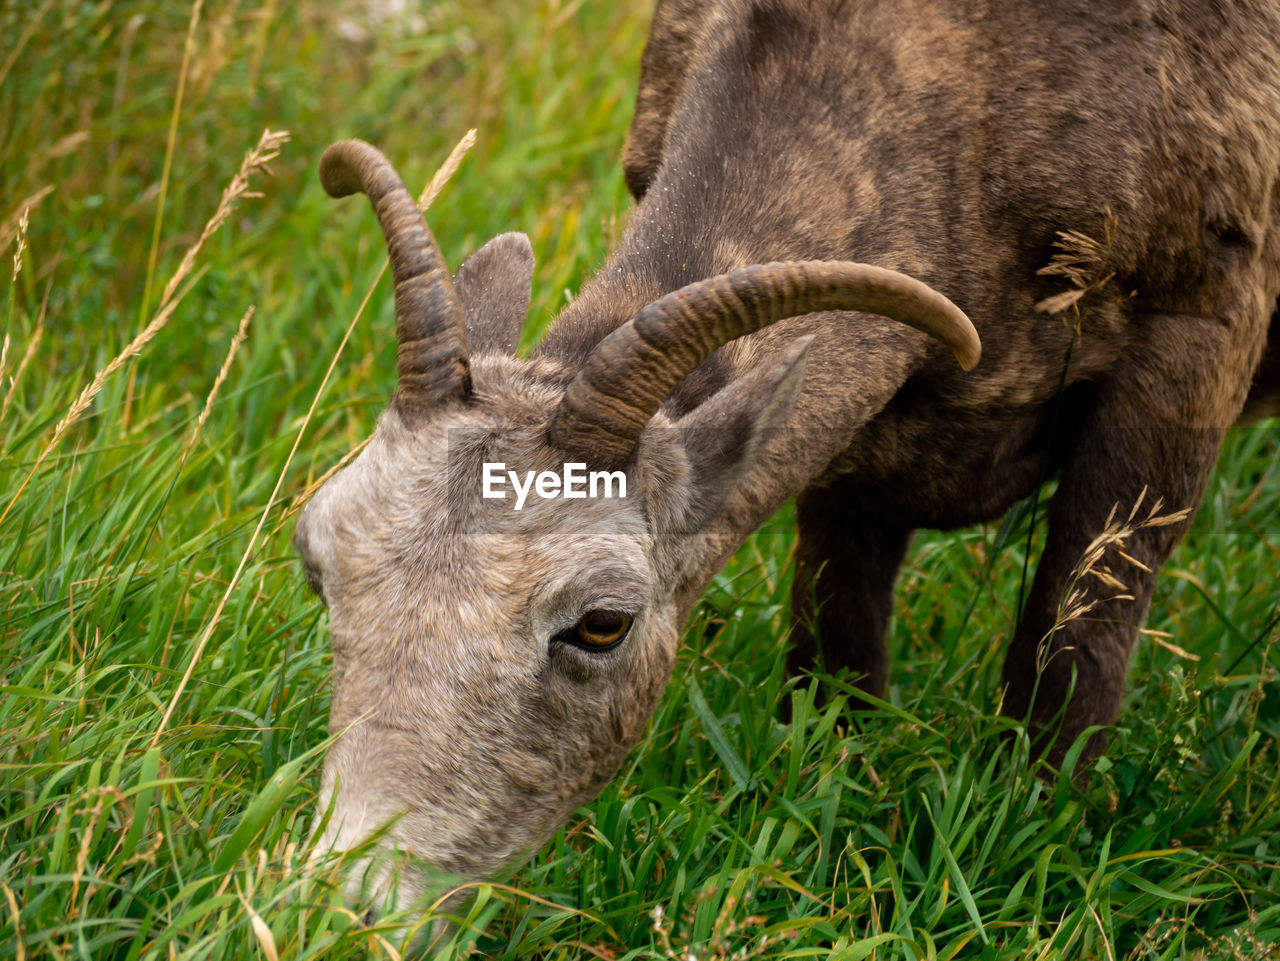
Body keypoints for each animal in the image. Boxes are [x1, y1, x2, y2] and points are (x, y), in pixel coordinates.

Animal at [296, 0, 1280, 916]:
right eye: (316, 560)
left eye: (602, 622)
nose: (348, 904)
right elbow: (837, 657)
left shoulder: (1191, 351)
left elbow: (1071, 666)